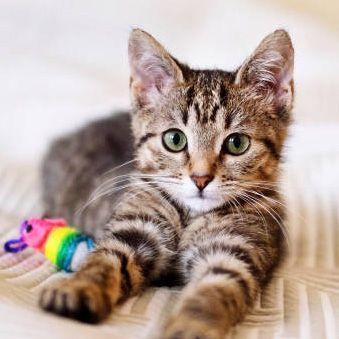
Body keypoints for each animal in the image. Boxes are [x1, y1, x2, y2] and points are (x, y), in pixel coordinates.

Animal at [39, 29, 294, 339]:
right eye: (175, 139)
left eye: (237, 143)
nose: (200, 178)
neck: (189, 216)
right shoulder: (135, 227)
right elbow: (103, 261)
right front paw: (78, 287)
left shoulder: (235, 249)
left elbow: (213, 292)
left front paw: (192, 325)